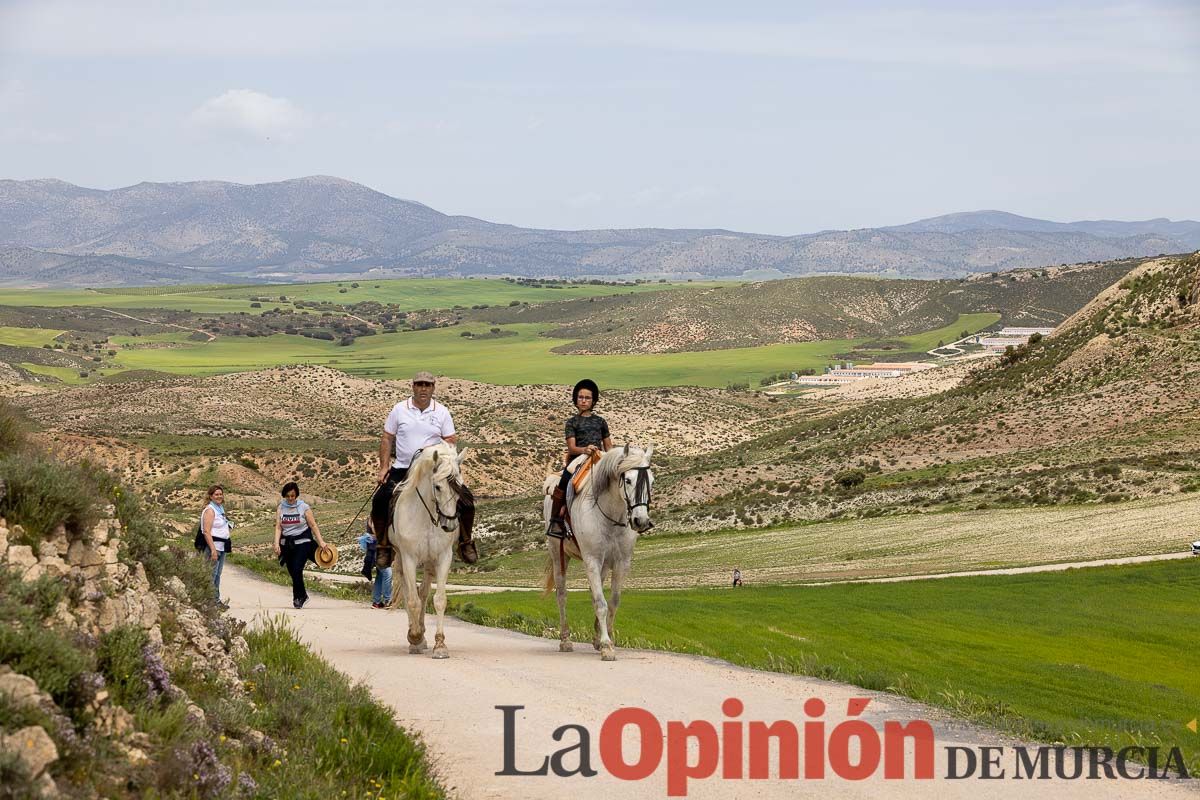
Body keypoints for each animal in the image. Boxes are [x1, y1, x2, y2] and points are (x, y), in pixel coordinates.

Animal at [393, 441, 468, 662]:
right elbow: (412, 600)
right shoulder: (409, 557)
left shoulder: (443, 557)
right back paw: (415, 636)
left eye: (460, 486)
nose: (450, 525)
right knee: (409, 592)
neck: (427, 517)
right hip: (401, 558)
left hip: (427, 562)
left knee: (424, 592)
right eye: (438, 486)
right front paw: (415, 637)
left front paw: (440, 645)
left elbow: (439, 599)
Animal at [544, 443, 657, 662]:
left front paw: (606, 638)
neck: (611, 516)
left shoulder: (621, 563)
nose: (640, 521)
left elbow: (612, 601)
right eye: (628, 480)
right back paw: (565, 640)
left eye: (652, 481)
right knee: (561, 595)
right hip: (558, 555)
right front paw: (606, 646)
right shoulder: (592, 560)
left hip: (603, 566)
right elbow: (600, 602)